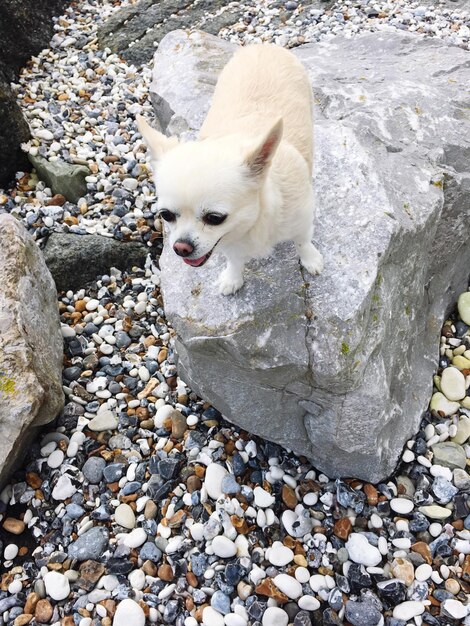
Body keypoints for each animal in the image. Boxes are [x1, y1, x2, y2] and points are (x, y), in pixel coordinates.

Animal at [137, 43, 324, 292]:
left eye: (215, 218)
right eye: (165, 215)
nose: (180, 248)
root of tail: (262, 45)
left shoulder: (301, 220)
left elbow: (302, 241)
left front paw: (311, 259)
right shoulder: (226, 243)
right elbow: (234, 259)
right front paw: (233, 278)